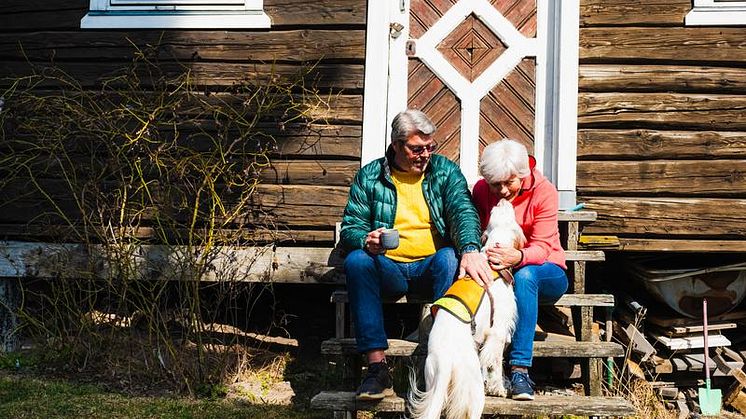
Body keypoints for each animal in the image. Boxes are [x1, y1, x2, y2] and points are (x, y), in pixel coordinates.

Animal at [406, 200, 524, 419]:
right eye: (506, 212)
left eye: (495, 212)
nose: (502, 200)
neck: (491, 263)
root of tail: (444, 362)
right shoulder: (498, 331)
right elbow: (495, 363)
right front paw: (499, 389)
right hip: (474, 390)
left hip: (432, 376)